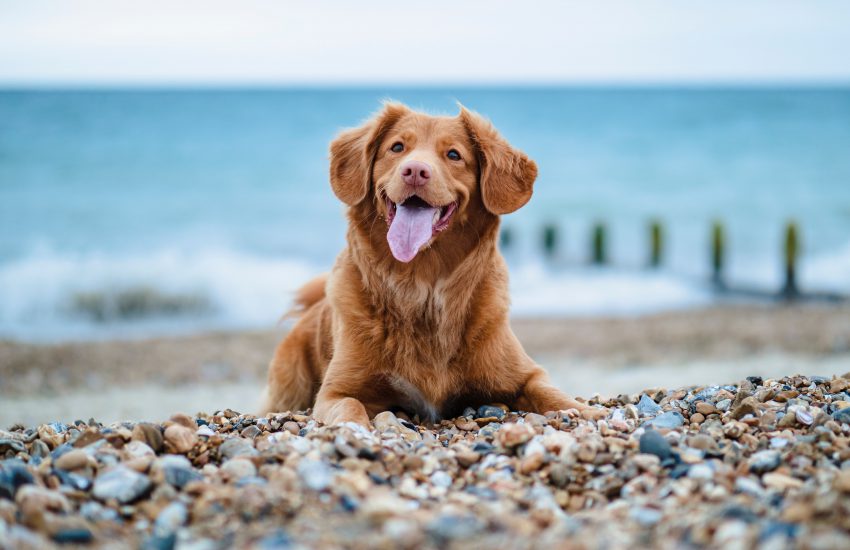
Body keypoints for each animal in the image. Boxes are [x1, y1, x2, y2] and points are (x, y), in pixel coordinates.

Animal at [260, 102, 604, 426]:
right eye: (397, 147)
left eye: (453, 154)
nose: (415, 171)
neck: (421, 286)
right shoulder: (336, 391)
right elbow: (350, 406)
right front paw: (356, 430)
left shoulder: (526, 374)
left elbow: (551, 393)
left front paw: (586, 411)